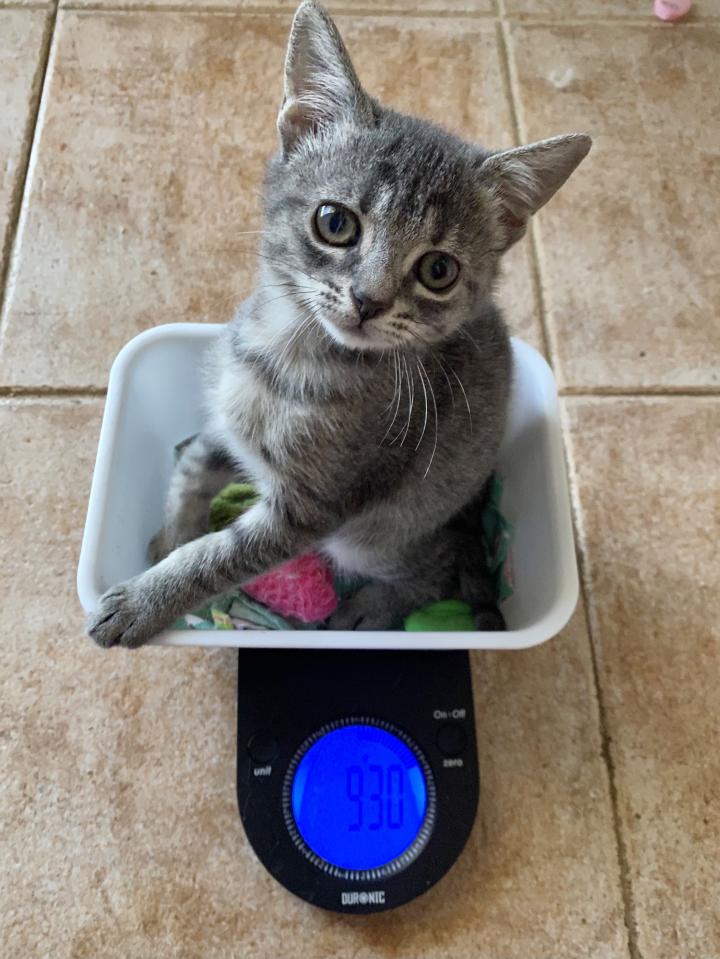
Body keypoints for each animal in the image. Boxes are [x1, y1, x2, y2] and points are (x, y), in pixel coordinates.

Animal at [88, 0, 590, 647]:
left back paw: (370, 609)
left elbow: (217, 557)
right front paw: (173, 532)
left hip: (378, 532)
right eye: (335, 222)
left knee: (437, 567)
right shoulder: (228, 426)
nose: (368, 299)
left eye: (438, 270)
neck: (282, 354)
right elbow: (195, 462)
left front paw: (145, 600)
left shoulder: (313, 507)